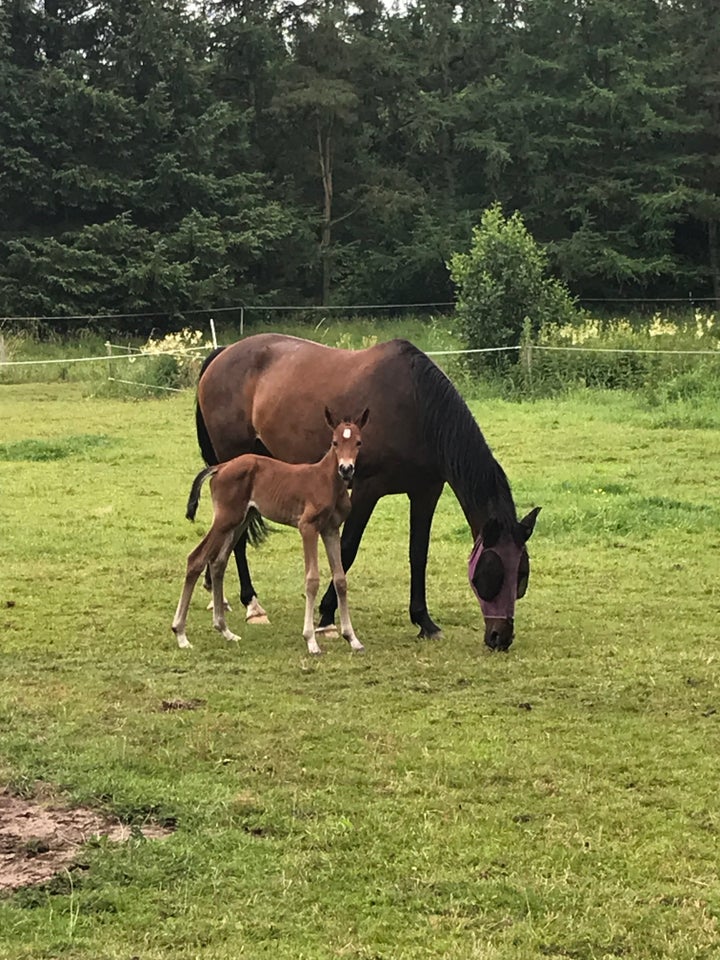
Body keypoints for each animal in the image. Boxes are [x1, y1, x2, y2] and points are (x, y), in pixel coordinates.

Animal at [172, 408, 368, 656]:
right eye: (334, 442)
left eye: (358, 442)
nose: (346, 469)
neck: (326, 479)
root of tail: (221, 467)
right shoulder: (308, 527)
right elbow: (312, 579)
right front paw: (311, 641)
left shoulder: (331, 529)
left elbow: (340, 580)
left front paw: (352, 638)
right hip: (226, 519)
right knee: (196, 559)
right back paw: (181, 634)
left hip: (241, 520)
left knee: (218, 563)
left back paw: (225, 631)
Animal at [194, 332, 536, 652]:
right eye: (491, 573)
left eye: (522, 575)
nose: (500, 637)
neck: (415, 406)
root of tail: (223, 353)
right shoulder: (365, 490)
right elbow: (347, 549)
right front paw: (327, 617)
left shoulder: (426, 492)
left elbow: (418, 554)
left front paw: (424, 621)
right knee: (236, 538)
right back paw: (251, 604)